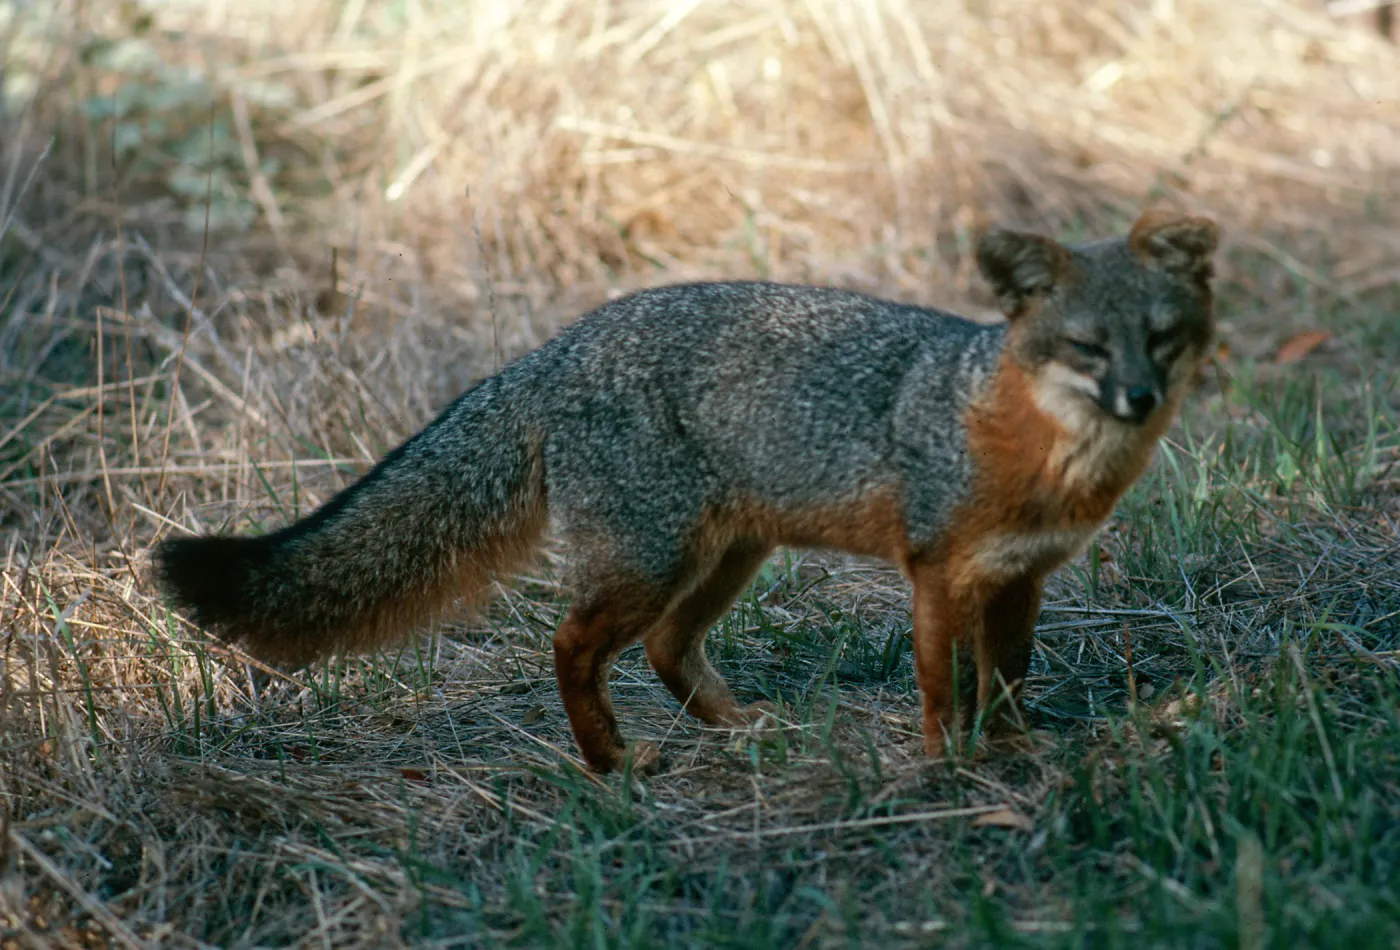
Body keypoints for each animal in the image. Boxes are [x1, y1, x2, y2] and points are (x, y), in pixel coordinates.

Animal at [153, 211, 1219, 774]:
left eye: (1162, 339)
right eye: (1089, 348)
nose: (1139, 397)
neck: (1036, 456)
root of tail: (553, 349)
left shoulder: (1020, 579)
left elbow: (1008, 677)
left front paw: (1015, 753)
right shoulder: (936, 574)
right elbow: (941, 683)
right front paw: (946, 765)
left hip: (725, 558)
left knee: (667, 648)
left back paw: (736, 730)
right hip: (652, 561)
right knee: (571, 644)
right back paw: (611, 765)